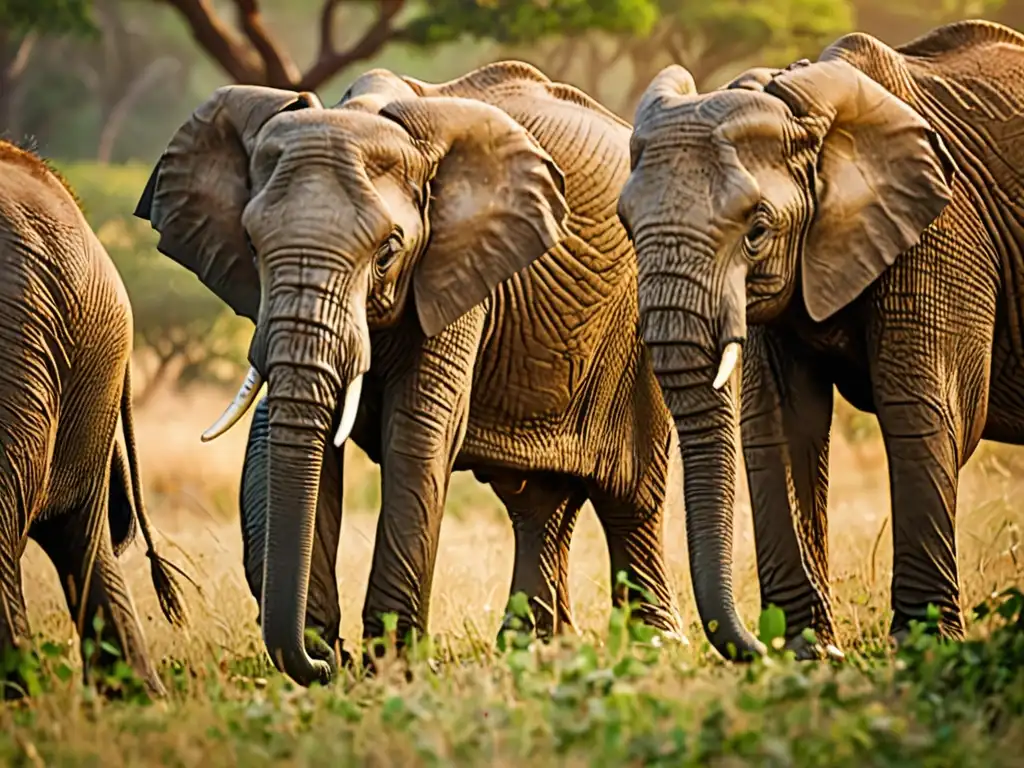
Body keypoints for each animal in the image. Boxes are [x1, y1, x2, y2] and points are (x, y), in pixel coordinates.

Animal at [134, 58, 679, 684]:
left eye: (388, 252)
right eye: (250, 243)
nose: (324, 661)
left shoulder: (461, 265)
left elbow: (417, 434)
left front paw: (391, 664)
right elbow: (278, 434)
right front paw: (332, 656)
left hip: (640, 330)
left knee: (630, 498)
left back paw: (654, 646)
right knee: (535, 499)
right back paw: (537, 647)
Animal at [614, 20, 1024, 663]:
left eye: (756, 230)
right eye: (626, 225)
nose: (756, 645)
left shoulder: (940, 233)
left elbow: (921, 412)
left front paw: (922, 647)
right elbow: (780, 425)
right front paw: (809, 653)